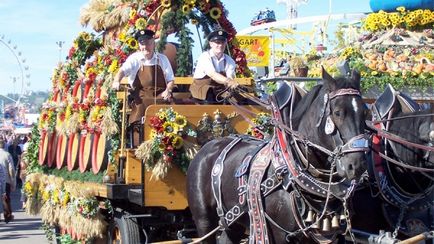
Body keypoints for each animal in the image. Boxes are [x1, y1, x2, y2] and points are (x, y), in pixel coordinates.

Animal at [186, 69, 370, 244]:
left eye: (365, 113)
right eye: (338, 112)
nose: (357, 165)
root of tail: (207, 147)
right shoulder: (277, 234)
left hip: (233, 221)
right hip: (204, 220)